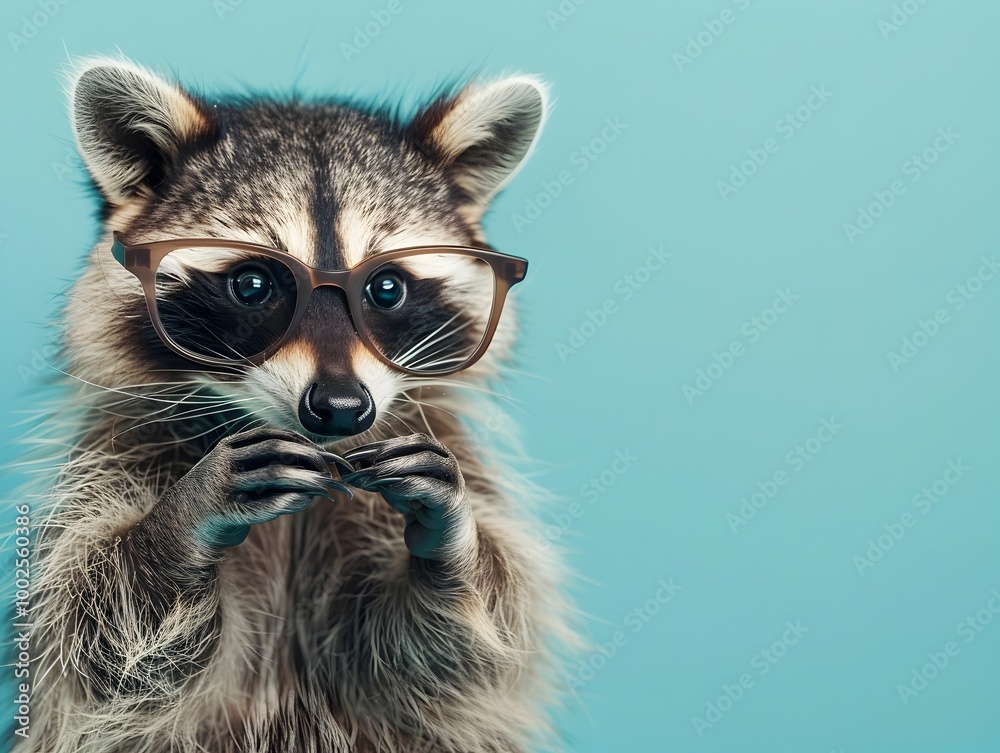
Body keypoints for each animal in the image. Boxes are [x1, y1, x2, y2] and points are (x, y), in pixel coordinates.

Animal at [14, 57, 572, 753]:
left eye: (387, 288)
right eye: (254, 285)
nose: (341, 407)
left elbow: (449, 657)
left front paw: (458, 546)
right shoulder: (115, 448)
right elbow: (99, 647)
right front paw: (178, 526)